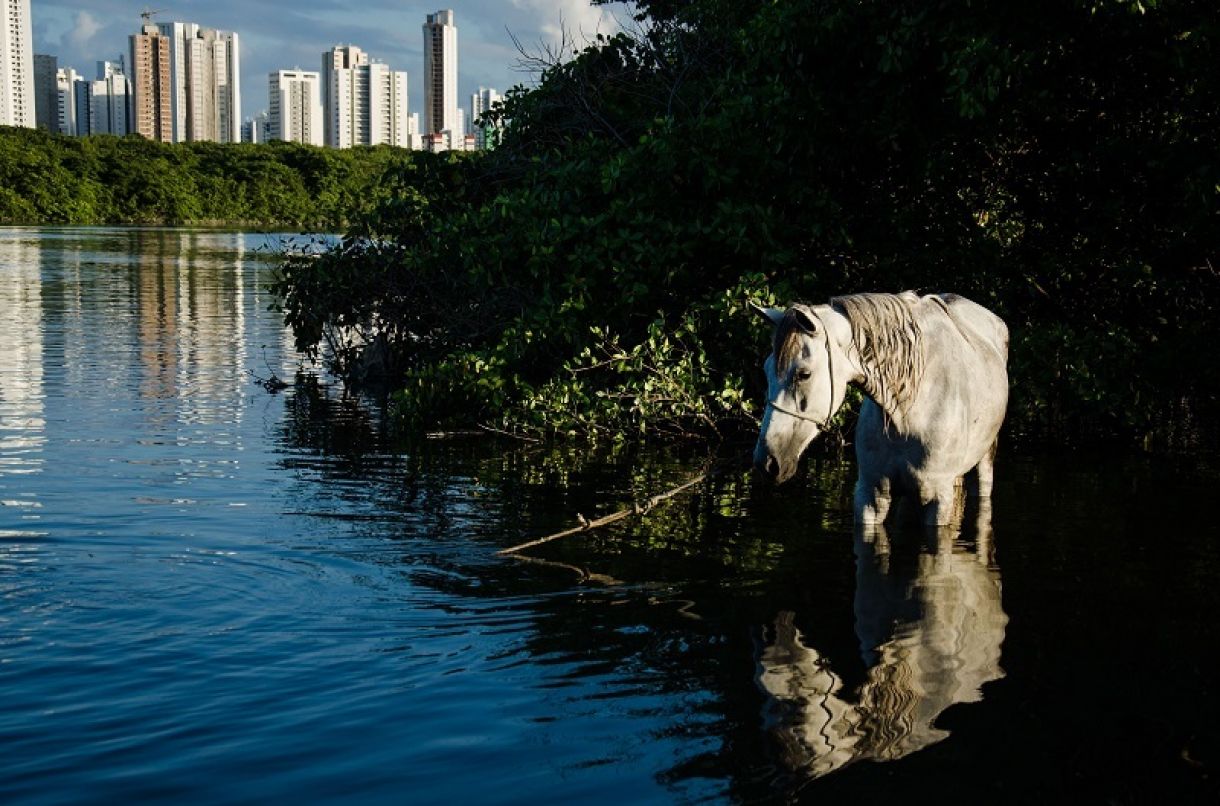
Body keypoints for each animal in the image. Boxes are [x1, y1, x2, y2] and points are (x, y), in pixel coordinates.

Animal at [751, 292, 1010, 524]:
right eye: (765, 370)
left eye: (803, 374)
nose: (767, 463)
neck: (908, 413)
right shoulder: (870, 494)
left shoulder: (938, 501)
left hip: (983, 465)